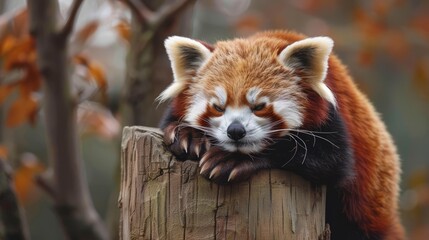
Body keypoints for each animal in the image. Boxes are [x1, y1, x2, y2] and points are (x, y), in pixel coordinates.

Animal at [156, 30, 402, 240]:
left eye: (259, 107)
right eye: (217, 107)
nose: (235, 131)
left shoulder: (333, 122)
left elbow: (332, 161)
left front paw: (231, 159)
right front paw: (188, 136)